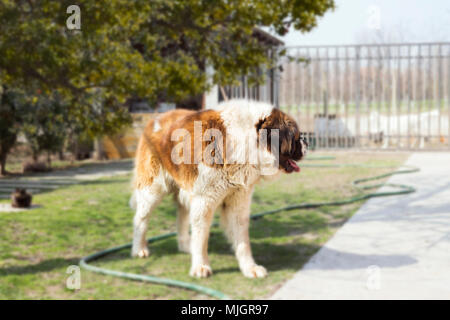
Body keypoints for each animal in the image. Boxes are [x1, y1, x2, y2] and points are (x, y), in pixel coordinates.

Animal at [128, 99, 308, 278]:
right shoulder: (204, 201)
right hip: (152, 189)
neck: (242, 143)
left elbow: (242, 240)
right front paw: (200, 266)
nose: (306, 142)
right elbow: (201, 238)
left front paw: (249, 268)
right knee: (140, 219)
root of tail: (154, 119)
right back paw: (139, 249)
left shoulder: (237, 200)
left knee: (181, 216)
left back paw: (185, 245)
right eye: (296, 137)